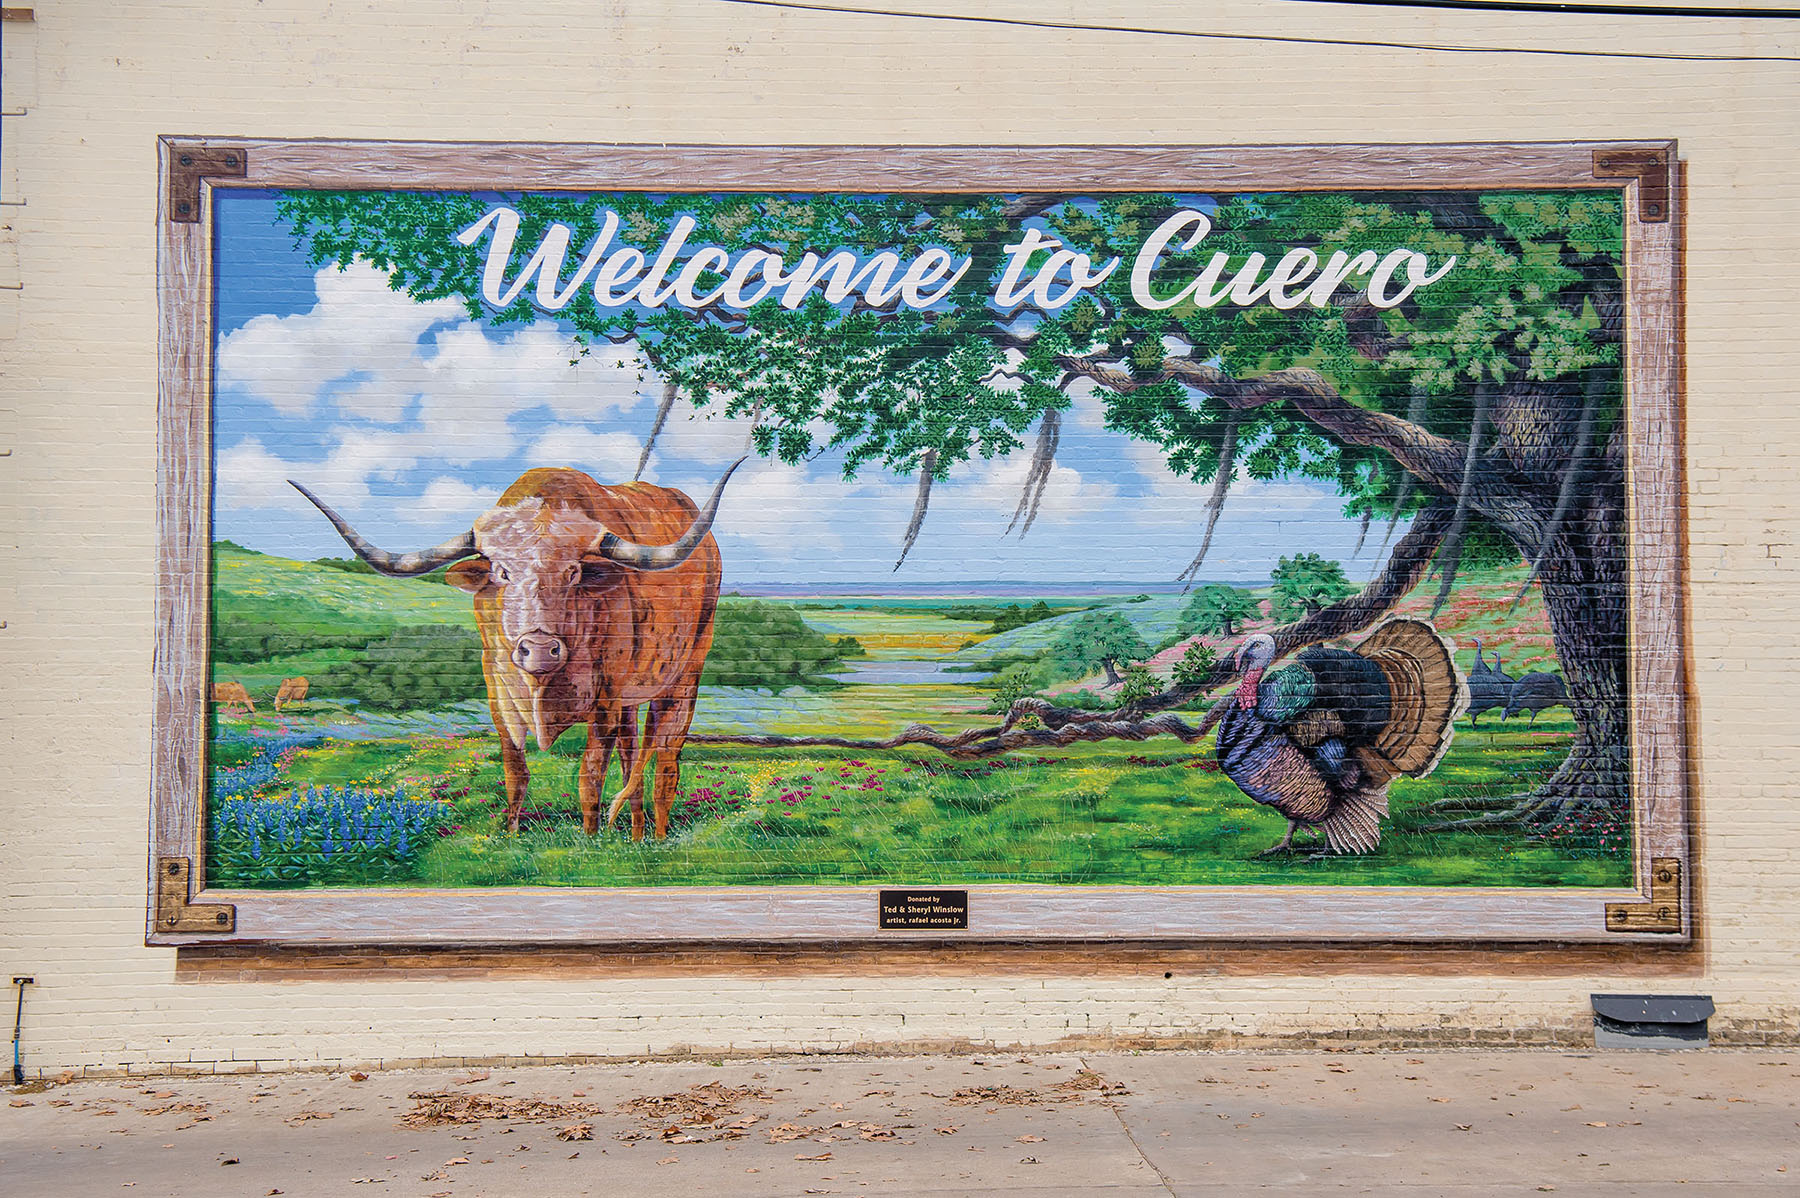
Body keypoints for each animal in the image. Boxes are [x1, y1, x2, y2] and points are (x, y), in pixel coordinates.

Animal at [291, 456, 741, 838]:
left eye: (573, 571)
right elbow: (515, 773)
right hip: (633, 700)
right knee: (634, 758)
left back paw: (658, 838)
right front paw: (509, 835)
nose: (539, 650)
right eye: (502, 572)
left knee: (665, 760)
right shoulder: (498, 692)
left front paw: (590, 840)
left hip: (685, 676)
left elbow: (590, 774)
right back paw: (635, 836)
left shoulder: (606, 701)